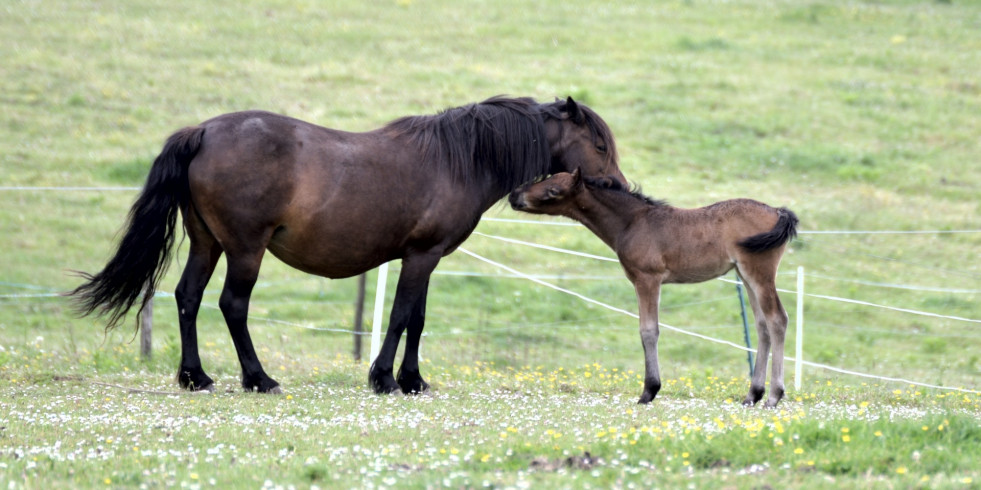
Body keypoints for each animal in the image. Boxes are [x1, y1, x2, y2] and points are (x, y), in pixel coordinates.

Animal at [69, 95, 624, 394]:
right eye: (599, 144)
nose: (617, 187)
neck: (458, 159)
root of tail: (202, 131)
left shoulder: (426, 258)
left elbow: (417, 319)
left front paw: (413, 380)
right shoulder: (420, 256)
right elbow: (400, 317)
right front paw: (385, 379)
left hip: (208, 243)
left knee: (188, 298)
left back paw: (195, 377)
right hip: (245, 249)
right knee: (232, 305)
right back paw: (259, 378)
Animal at [510, 170, 800, 408]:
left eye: (553, 191)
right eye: (545, 178)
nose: (514, 195)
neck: (633, 222)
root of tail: (777, 211)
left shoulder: (647, 279)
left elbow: (648, 331)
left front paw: (649, 391)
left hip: (759, 272)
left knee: (777, 319)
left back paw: (774, 396)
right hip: (745, 275)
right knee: (762, 325)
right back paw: (752, 395)